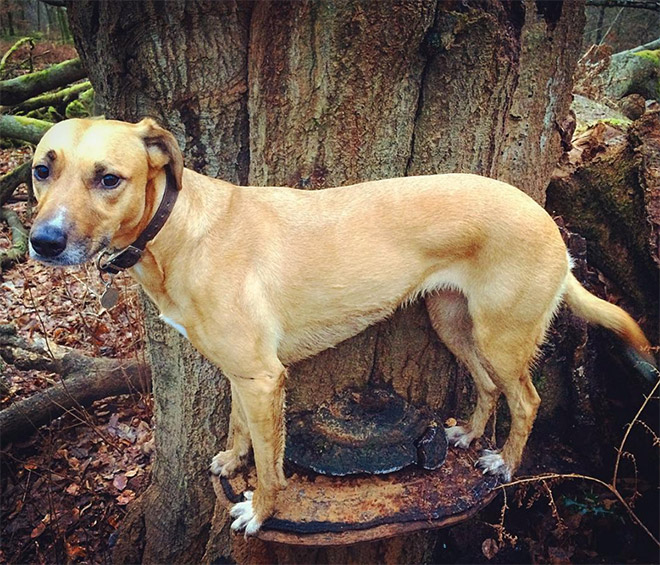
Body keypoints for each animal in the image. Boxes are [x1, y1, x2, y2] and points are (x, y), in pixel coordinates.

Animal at [28, 118, 652, 532]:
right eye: (41, 170)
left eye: (109, 179)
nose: (43, 242)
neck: (179, 227)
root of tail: (547, 221)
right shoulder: (244, 374)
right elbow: (238, 428)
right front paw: (232, 461)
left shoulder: (262, 378)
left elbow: (273, 467)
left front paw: (259, 511)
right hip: (454, 323)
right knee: (488, 386)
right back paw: (470, 435)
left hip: (502, 336)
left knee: (526, 400)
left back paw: (505, 461)